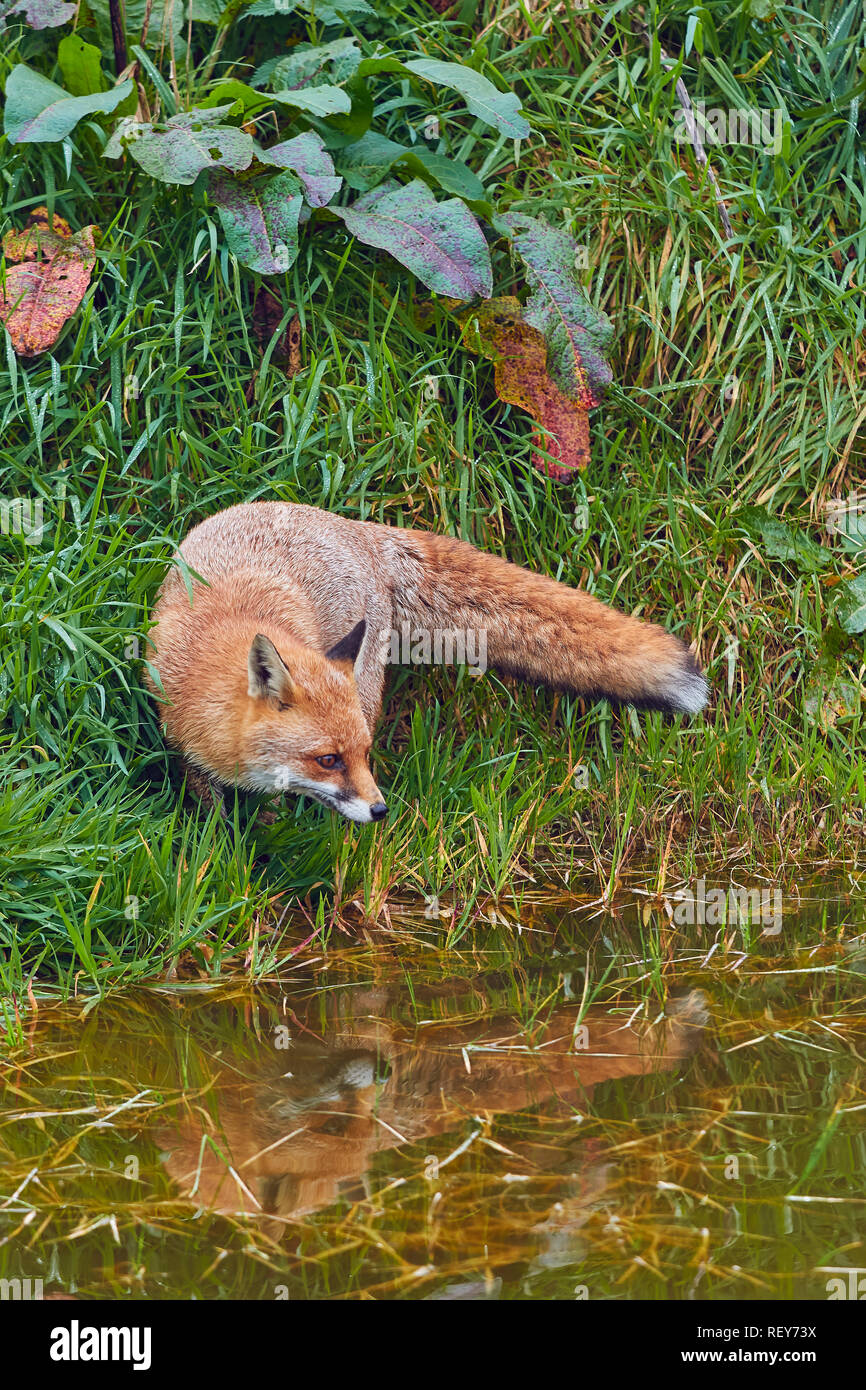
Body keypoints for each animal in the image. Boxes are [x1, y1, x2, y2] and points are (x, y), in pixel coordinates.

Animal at [146, 501, 708, 823]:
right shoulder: (181, 739)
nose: (380, 809)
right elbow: (211, 807)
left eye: (363, 754)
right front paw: (223, 842)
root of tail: (361, 529)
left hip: (367, 685)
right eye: (328, 760)